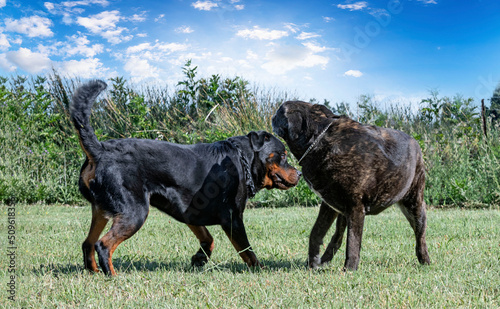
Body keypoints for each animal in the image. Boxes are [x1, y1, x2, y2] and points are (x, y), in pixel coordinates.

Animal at [69, 80, 296, 274]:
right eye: (283, 155)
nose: (299, 172)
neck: (242, 160)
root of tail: (100, 151)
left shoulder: (190, 211)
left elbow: (208, 239)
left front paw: (199, 259)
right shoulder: (233, 218)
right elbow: (247, 250)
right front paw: (260, 269)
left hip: (101, 210)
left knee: (88, 243)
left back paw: (94, 272)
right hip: (134, 211)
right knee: (103, 245)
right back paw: (113, 275)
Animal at [272, 101, 432, 270]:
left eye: (278, 112)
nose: (272, 117)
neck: (319, 140)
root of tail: (416, 144)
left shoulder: (356, 207)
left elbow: (353, 241)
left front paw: (349, 269)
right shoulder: (329, 205)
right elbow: (316, 233)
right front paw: (313, 263)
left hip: (415, 206)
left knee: (420, 236)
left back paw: (424, 259)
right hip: (342, 212)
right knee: (337, 237)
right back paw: (325, 259)